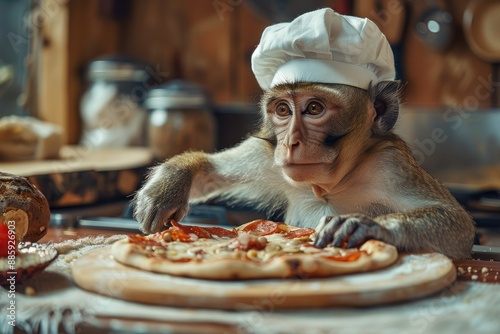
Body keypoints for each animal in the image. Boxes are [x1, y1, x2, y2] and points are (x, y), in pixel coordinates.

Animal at [134, 79, 476, 260]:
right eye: (283, 110)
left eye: (314, 108)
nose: (290, 142)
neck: (332, 184)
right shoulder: (271, 159)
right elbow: (214, 170)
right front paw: (171, 183)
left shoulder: (390, 165)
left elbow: (458, 223)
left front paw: (365, 225)